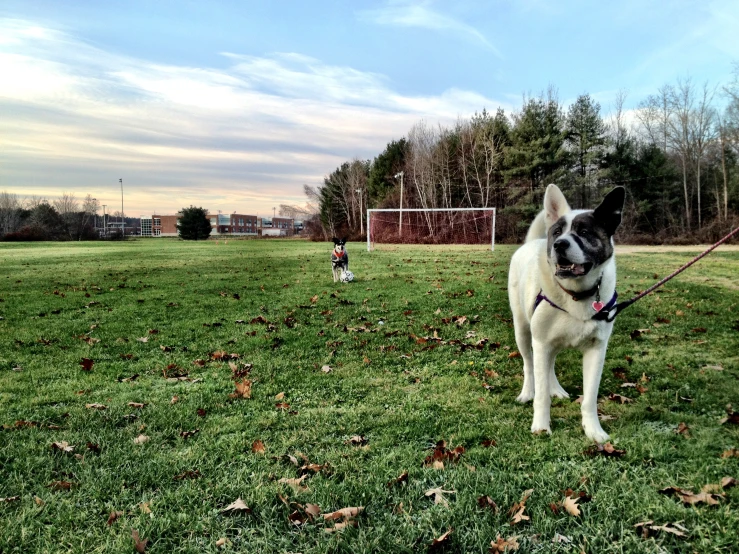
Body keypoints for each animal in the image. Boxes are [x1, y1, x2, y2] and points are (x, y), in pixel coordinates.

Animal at [508, 183, 624, 442]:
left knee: (549, 365)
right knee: (529, 364)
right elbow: (541, 395)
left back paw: (557, 389)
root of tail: (533, 242)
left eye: (584, 232)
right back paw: (527, 392)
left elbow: (589, 399)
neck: (576, 294)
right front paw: (541, 426)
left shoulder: (596, 350)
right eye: (557, 232)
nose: (559, 244)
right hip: (523, 331)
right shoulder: (541, 342)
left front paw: (593, 430)